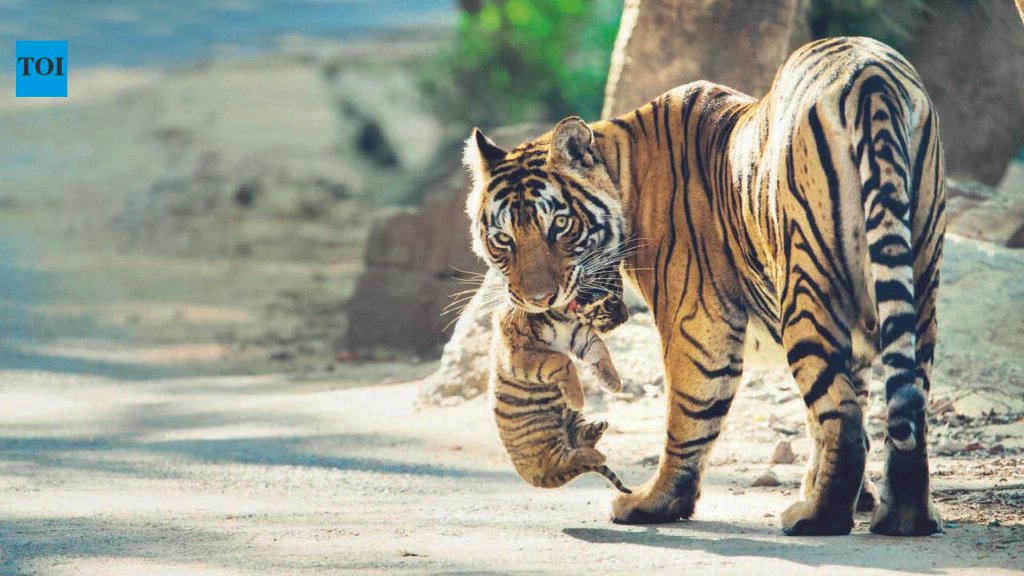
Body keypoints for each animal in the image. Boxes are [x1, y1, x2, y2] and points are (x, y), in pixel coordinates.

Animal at [490, 278, 631, 493]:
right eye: (613, 301)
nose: (626, 317)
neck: (563, 312)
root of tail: (531, 478)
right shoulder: (520, 351)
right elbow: (562, 360)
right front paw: (578, 398)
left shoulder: (578, 333)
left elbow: (600, 349)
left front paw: (613, 382)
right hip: (540, 436)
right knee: (564, 461)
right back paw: (598, 455)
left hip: (569, 417)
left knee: (576, 440)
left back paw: (595, 429)